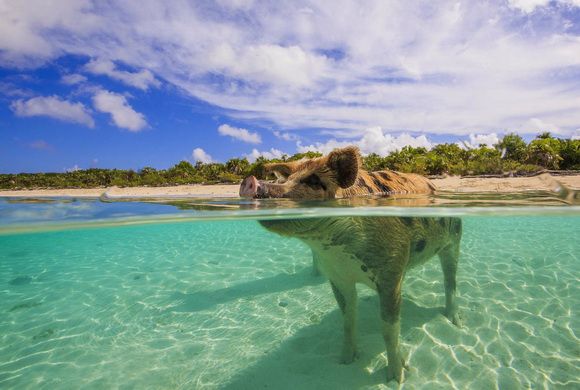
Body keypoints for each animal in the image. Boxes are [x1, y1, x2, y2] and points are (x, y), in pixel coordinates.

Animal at [238, 147, 460, 384]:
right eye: (285, 179)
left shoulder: (391, 272)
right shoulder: (337, 275)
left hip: (454, 237)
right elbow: (348, 318)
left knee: (450, 281)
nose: (251, 181)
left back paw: (454, 321)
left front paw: (396, 378)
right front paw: (344, 361)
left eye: (314, 181)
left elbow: (389, 329)